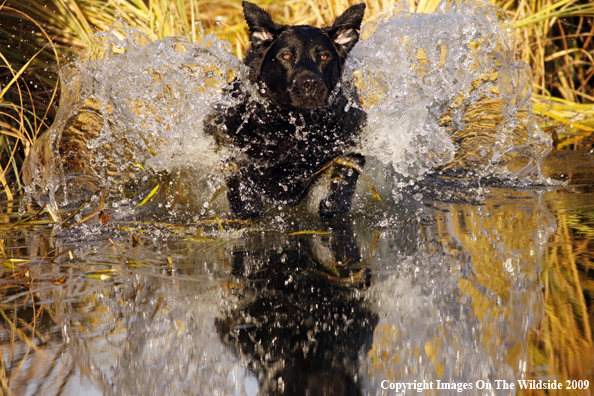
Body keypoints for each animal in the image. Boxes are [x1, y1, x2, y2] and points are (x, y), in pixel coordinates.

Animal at [207, 1, 366, 220]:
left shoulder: (352, 136)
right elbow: (237, 175)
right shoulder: (225, 139)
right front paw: (248, 205)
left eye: (324, 56)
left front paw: (332, 205)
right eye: (286, 55)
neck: (294, 125)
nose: (310, 83)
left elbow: (345, 172)